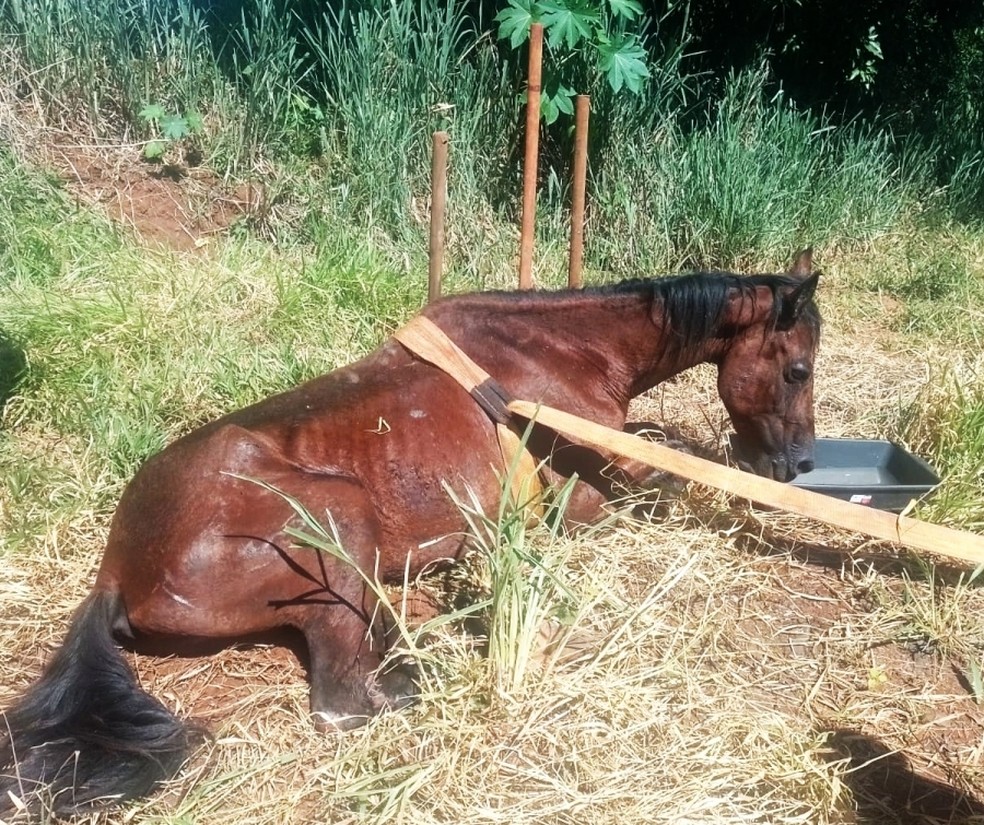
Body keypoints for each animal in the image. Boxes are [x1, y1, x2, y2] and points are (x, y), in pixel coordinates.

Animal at [0, 249, 824, 812]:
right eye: (798, 370)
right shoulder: (583, 502)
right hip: (338, 519)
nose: (796, 465)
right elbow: (672, 476)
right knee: (344, 697)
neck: (556, 354)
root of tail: (117, 571)